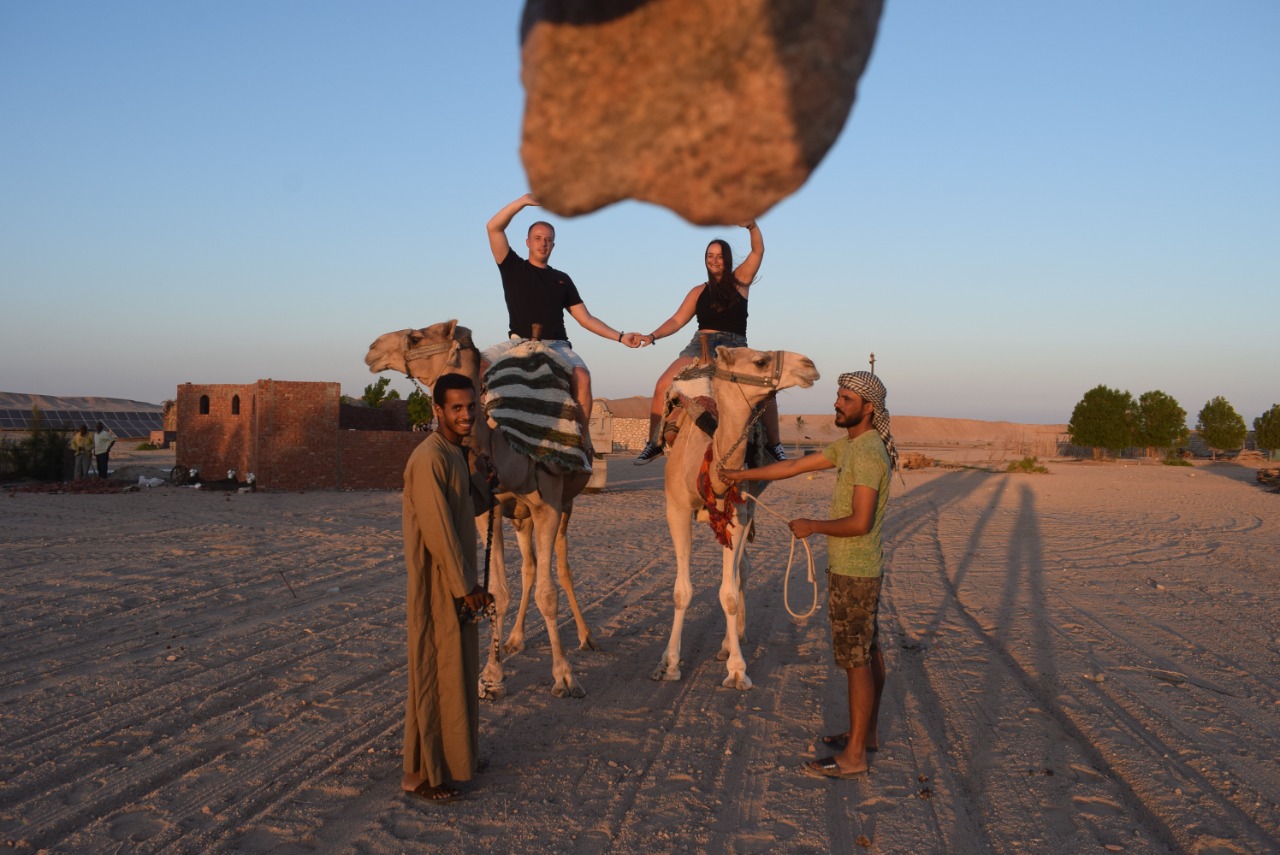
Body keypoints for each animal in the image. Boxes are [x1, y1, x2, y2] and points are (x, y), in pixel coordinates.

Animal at [366, 317, 593, 696]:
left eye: (416, 338)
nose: (372, 349)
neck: (504, 449)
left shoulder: (548, 505)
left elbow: (548, 594)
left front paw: (564, 676)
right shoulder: (490, 511)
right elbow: (498, 592)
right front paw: (491, 673)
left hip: (566, 504)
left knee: (563, 568)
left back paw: (586, 637)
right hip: (521, 519)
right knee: (529, 567)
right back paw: (515, 639)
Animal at [650, 345, 819, 686]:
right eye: (761, 361)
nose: (809, 365)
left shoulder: (738, 513)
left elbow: (728, 592)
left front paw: (738, 669)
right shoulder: (676, 509)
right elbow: (681, 592)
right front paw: (669, 663)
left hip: (748, 510)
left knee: (741, 571)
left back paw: (731, 643)